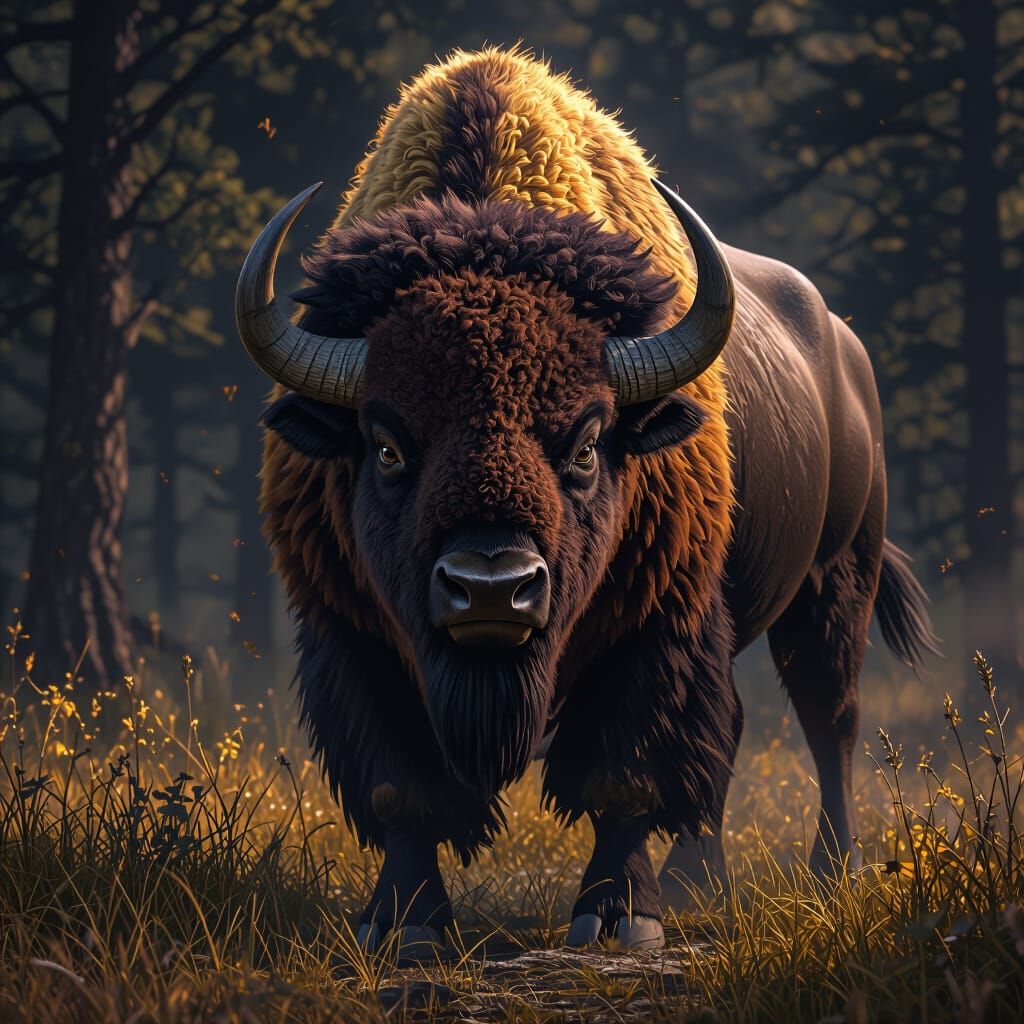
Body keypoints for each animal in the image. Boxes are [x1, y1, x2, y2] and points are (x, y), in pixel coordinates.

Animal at [235, 48, 936, 953]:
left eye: (586, 445)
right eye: (386, 447)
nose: (491, 590)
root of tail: (848, 352)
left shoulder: (654, 625)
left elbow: (624, 776)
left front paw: (619, 917)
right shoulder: (352, 635)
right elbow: (401, 790)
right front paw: (407, 924)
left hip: (833, 579)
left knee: (830, 717)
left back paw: (827, 875)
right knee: (742, 730)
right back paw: (699, 883)